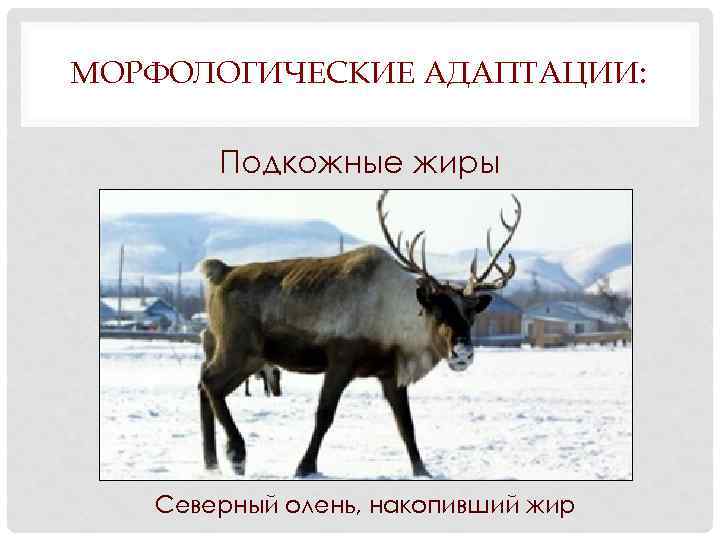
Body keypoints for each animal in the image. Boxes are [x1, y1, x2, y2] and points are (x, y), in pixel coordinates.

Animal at [197, 190, 521, 478]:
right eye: (438, 311)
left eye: (472, 314)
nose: (463, 353)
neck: (393, 317)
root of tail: (221, 272)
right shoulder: (340, 361)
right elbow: (324, 415)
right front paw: (305, 466)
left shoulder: (389, 372)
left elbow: (406, 424)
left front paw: (422, 471)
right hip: (238, 348)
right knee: (210, 381)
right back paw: (236, 454)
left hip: (250, 356)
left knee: (205, 384)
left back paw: (211, 463)